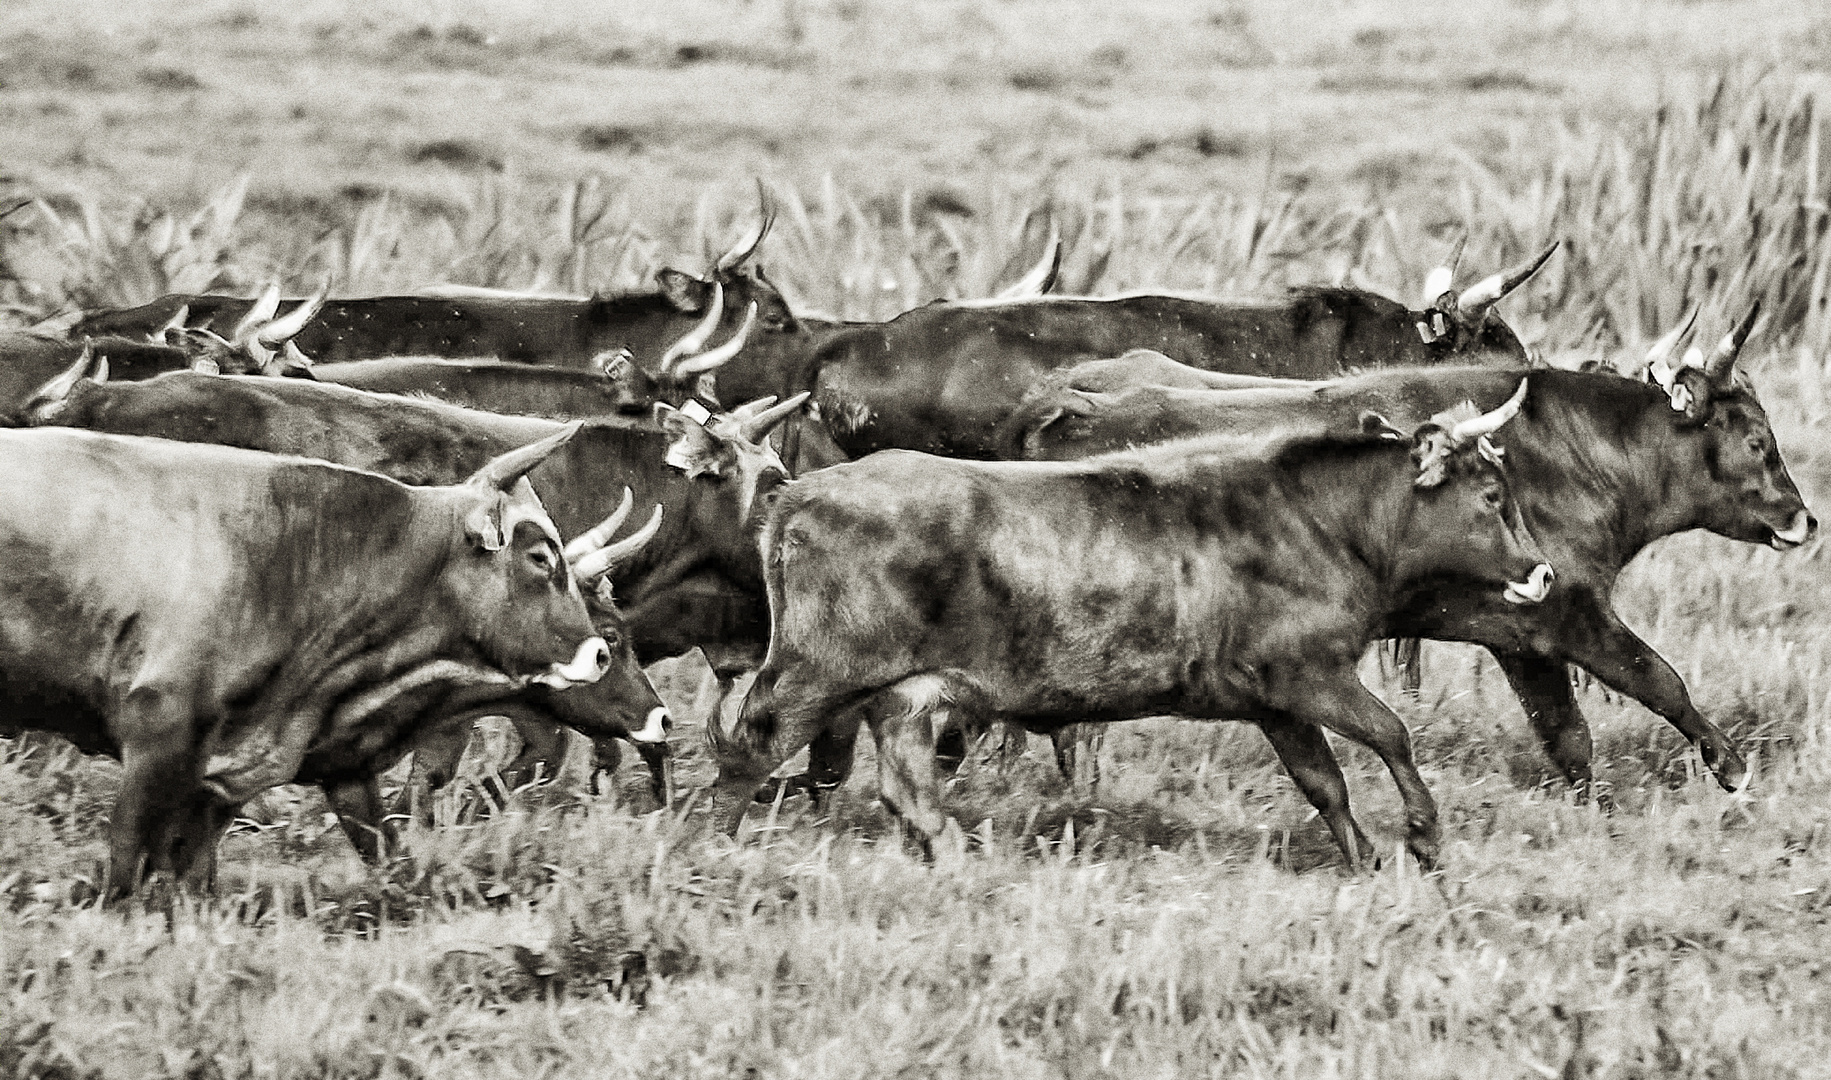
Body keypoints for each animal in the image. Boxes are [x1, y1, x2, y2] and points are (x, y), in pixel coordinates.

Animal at [706, 389, 1552, 871]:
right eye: (1489, 494)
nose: (1541, 573)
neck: (1315, 520)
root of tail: (799, 491)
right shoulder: (1308, 674)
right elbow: (1389, 734)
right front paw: (1423, 837)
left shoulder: (1274, 702)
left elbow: (1324, 784)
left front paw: (1366, 858)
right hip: (815, 674)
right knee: (749, 746)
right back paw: (705, 848)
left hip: (906, 692)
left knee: (904, 783)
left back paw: (948, 855)